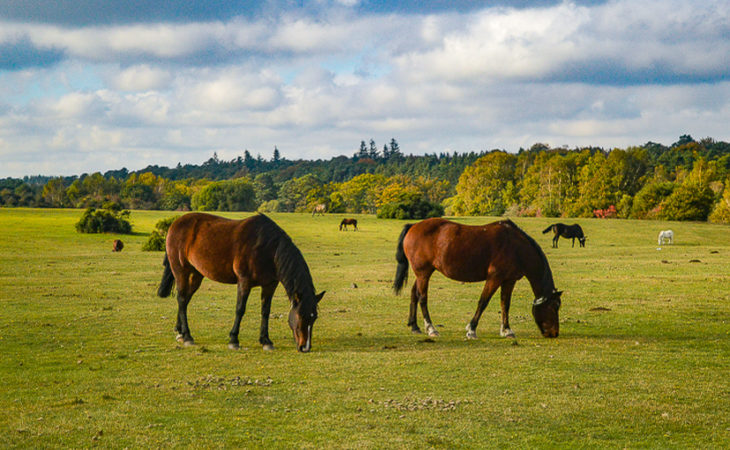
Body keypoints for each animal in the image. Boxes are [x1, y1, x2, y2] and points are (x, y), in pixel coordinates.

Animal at [157, 213, 324, 354]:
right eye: (301, 315)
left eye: (314, 317)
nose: (305, 347)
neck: (268, 249)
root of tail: (175, 223)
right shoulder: (244, 282)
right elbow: (240, 309)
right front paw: (233, 340)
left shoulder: (270, 285)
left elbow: (265, 311)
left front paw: (266, 341)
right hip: (181, 271)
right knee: (181, 299)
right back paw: (187, 336)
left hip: (197, 274)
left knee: (185, 300)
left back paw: (180, 332)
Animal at [396, 217, 560, 338]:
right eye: (555, 306)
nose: (554, 333)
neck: (516, 247)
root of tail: (414, 226)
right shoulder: (494, 278)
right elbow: (483, 302)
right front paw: (471, 329)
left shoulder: (509, 280)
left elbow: (505, 304)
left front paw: (506, 330)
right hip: (424, 273)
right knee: (422, 298)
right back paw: (431, 328)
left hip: (422, 274)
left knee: (414, 294)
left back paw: (415, 326)